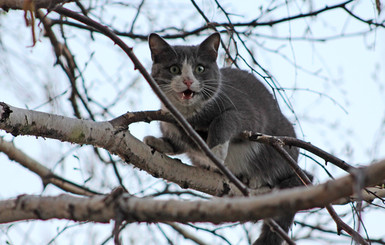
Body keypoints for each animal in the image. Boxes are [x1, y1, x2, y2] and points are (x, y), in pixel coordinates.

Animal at [143, 33, 304, 245]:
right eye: (174, 69)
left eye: (200, 68)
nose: (188, 81)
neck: (189, 116)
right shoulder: (169, 120)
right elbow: (178, 142)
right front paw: (156, 141)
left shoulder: (247, 112)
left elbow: (225, 119)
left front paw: (216, 151)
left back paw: (255, 179)